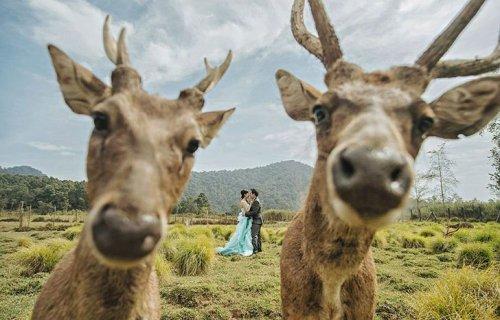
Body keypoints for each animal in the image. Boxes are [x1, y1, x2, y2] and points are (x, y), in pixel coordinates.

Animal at [276, 0, 498, 320]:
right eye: (319, 111)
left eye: (425, 122)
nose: (372, 171)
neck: (331, 291)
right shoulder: (291, 306)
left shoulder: (366, 307)